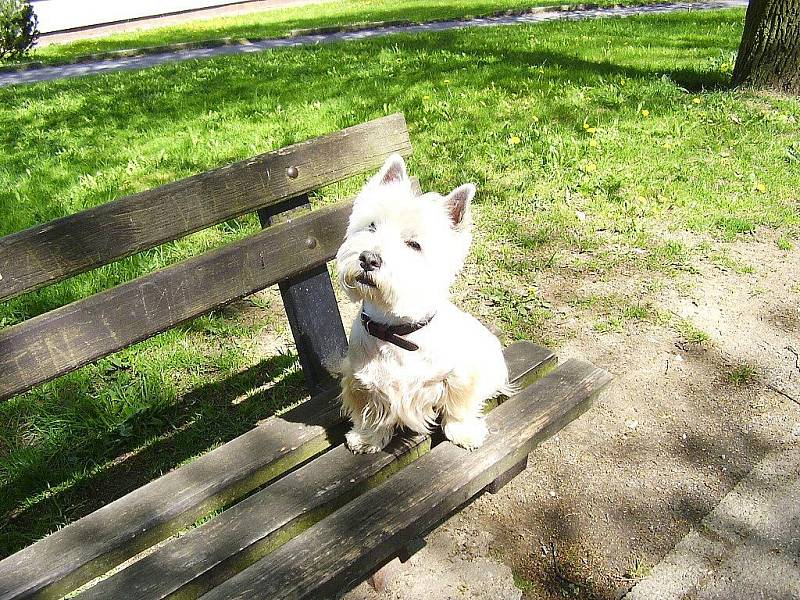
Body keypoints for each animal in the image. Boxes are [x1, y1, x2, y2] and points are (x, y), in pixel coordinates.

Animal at [336, 155, 512, 454]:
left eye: (414, 244)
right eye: (372, 225)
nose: (369, 259)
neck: (396, 329)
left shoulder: (458, 374)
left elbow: (459, 405)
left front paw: (464, 433)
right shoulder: (360, 379)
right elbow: (368, 411)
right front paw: (365, 438)